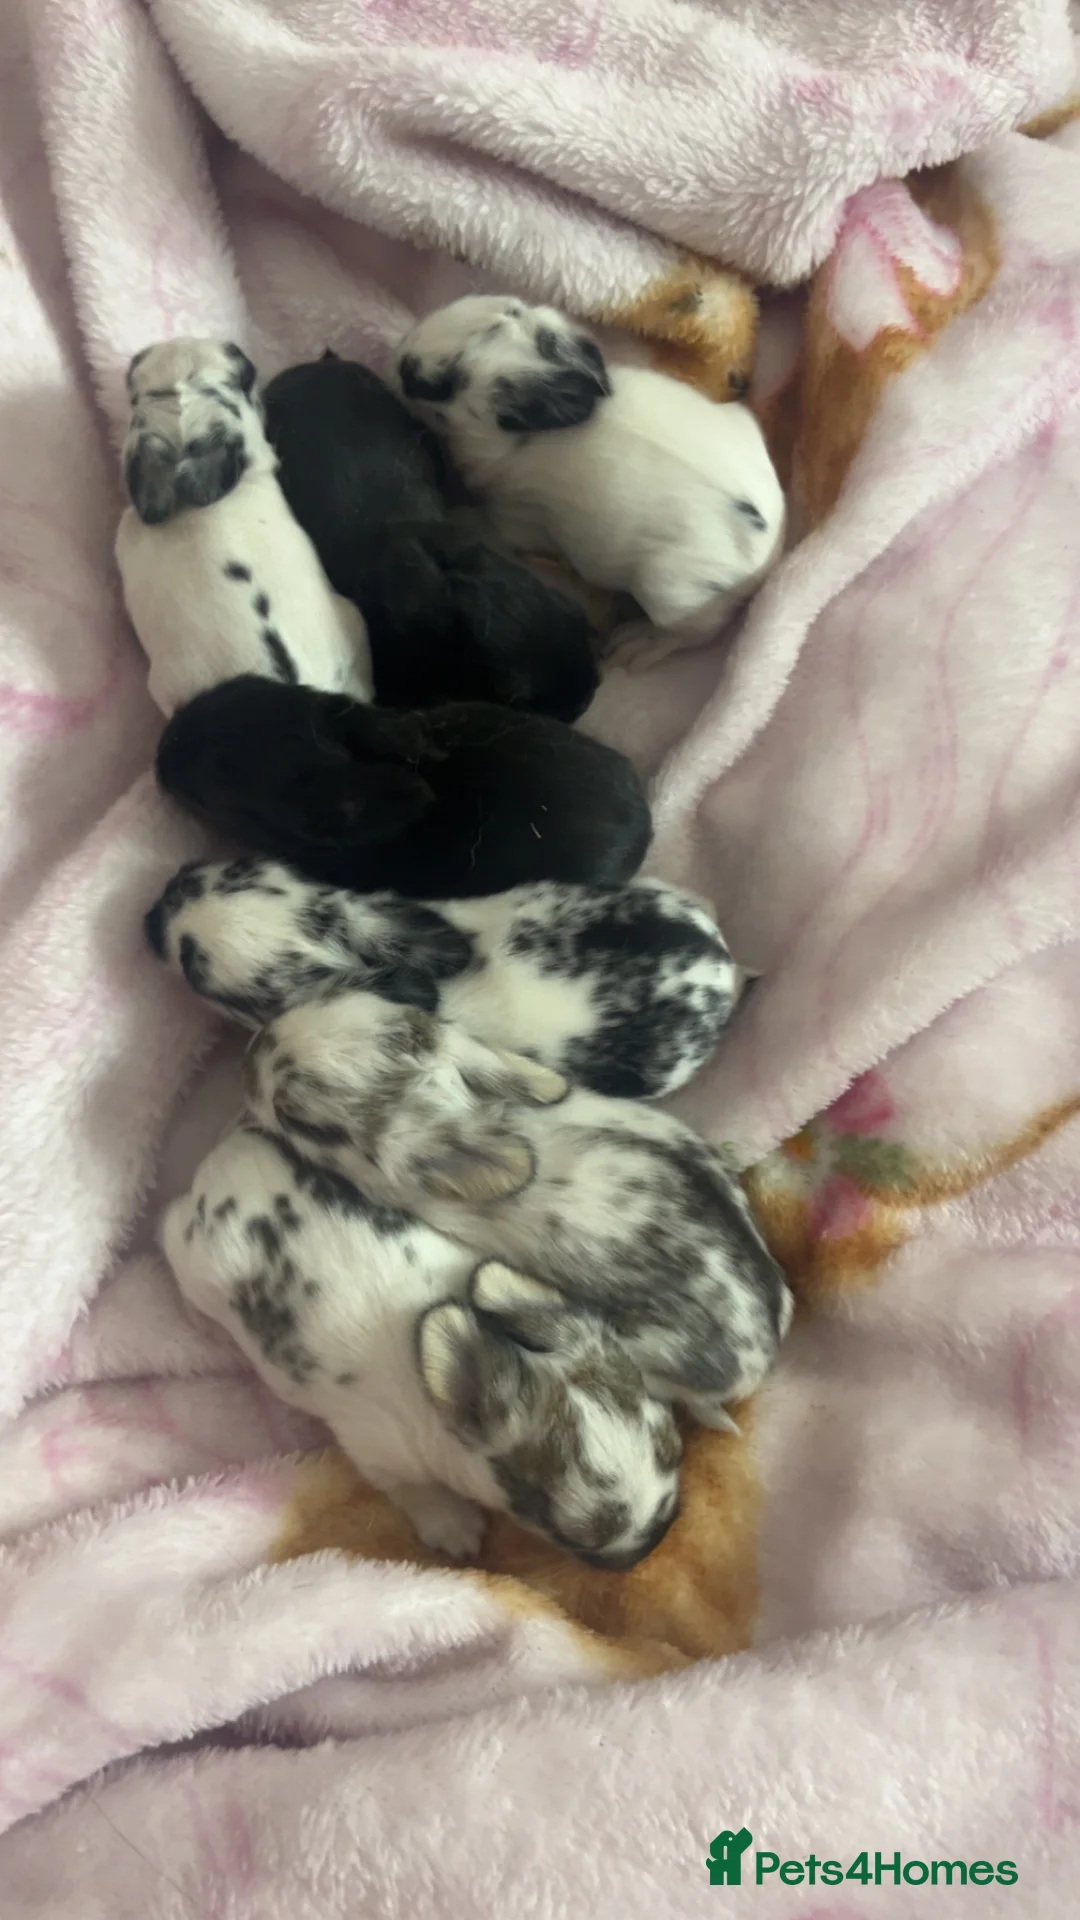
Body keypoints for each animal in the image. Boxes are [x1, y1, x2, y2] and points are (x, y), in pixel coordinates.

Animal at [161, 1118, 681, 1568]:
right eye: (572, 1530)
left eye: (673, 1442)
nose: (658, 1540)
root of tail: (217, 1172)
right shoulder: (380, 1456)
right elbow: (416, 1492)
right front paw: (460, 1533)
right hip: (189, 1259)